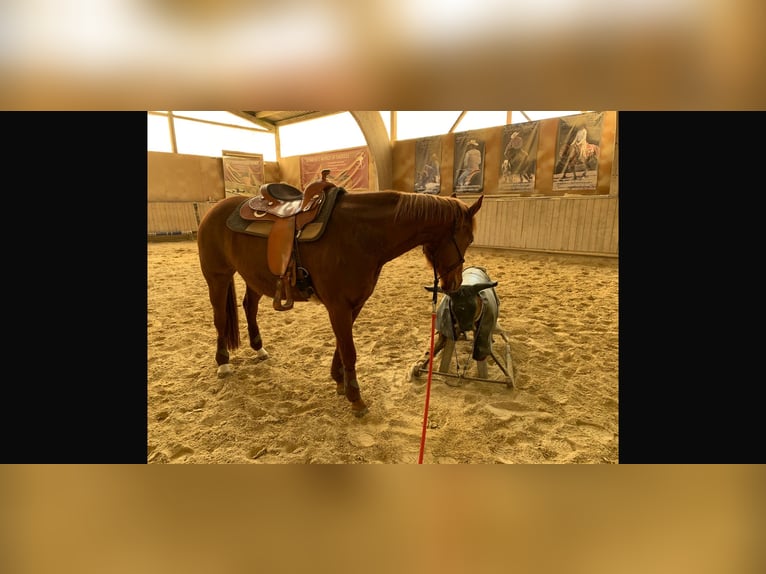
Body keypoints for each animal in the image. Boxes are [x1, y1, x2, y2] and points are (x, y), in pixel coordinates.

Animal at [196, 185, 484, 417]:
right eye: (468, 239)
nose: (454, 285)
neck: (360, 234)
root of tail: (216, 209)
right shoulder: (338, 306)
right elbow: (349, 350)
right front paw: (355, 398)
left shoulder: (353, 304)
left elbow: (342, 346)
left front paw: (339, 380)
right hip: (217, 276)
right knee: (220, 318)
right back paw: (223, 362)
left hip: (254, 277)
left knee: (249, 307)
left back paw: (259, 349)